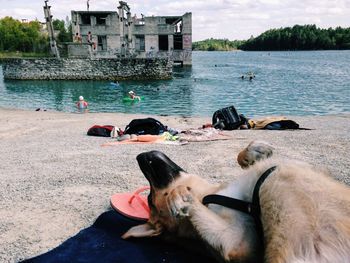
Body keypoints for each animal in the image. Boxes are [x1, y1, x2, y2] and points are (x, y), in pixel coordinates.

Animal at [122, 141, 350, 262]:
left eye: (149, 198)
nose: (138, 157)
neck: (212, 193)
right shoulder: (240, 245)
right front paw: (180, 198)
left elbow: (244, 156)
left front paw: (257, 150)